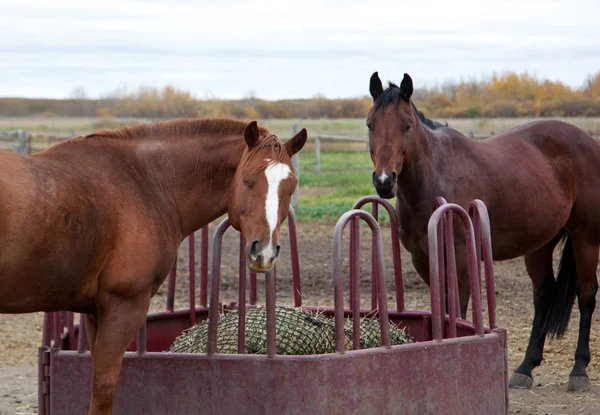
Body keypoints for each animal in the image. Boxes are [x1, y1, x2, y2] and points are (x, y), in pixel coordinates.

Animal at [0, 118, 308, 415]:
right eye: (247, 181)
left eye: (291, 187)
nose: (264, 252)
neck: (146, 184)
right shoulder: (125, 305)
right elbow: (104, 390)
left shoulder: (96, 311)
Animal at [366, 71, 600, 394]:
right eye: (370, 125)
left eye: (407, 125)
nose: (384, 181)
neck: (434, 177)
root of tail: (589, 142)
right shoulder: (424, 261)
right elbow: (444, 307)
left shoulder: (462, 258)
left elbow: (458, 310)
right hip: (539, 244)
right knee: (543, 295)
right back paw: (524, 368)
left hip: (585, 236)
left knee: (586, 294)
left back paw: (579, 371)